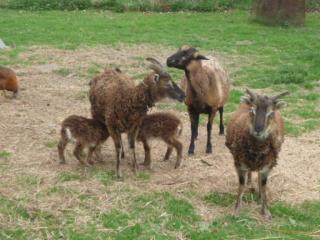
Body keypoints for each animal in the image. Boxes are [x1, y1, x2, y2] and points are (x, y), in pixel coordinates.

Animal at [225, 88, 290, 219]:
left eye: (271, 113)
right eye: (252, 110)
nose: (258, 130)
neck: (257, 150)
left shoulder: (268, 165)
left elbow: (264, 186)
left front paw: (266, 211)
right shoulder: (240, 163)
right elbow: (241, 185)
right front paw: (236, 210)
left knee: (259, 177)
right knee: (250, 174)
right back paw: (250, 184)